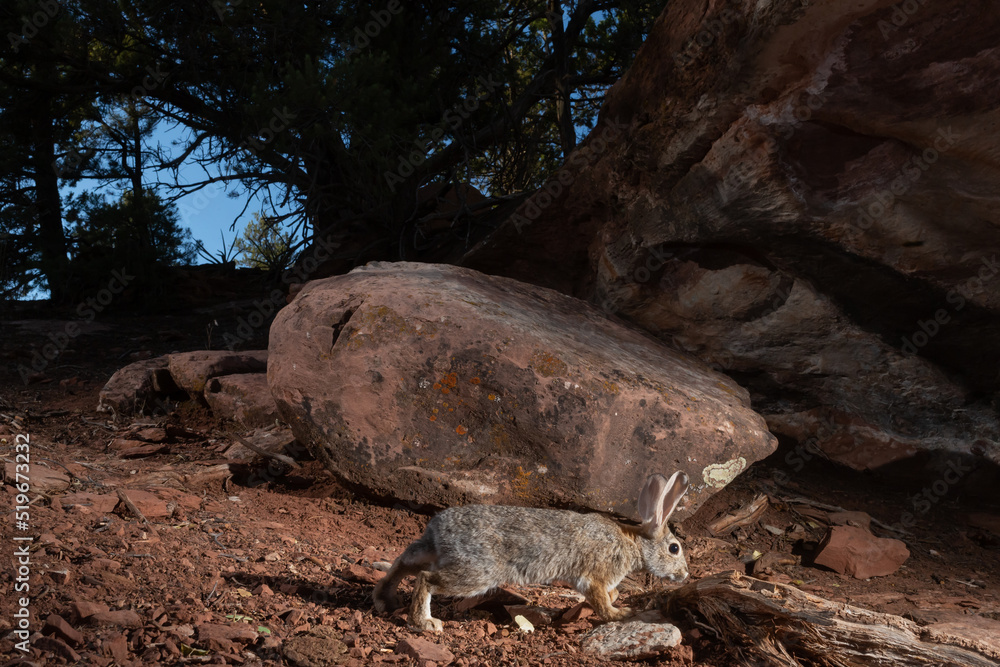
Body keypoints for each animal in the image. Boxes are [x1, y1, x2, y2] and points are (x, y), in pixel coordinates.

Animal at [373, 471, 690, 632]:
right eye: (674, 548)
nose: (685, 575)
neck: (634, 543)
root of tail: (440, 527)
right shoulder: (595, 577)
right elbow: (601, 601)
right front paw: (621, 613)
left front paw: (616, 602)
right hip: (476, 572)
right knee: (425, 578)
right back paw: (425, 623)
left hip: (433, 552)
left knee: (403, 563)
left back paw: (384, 601)